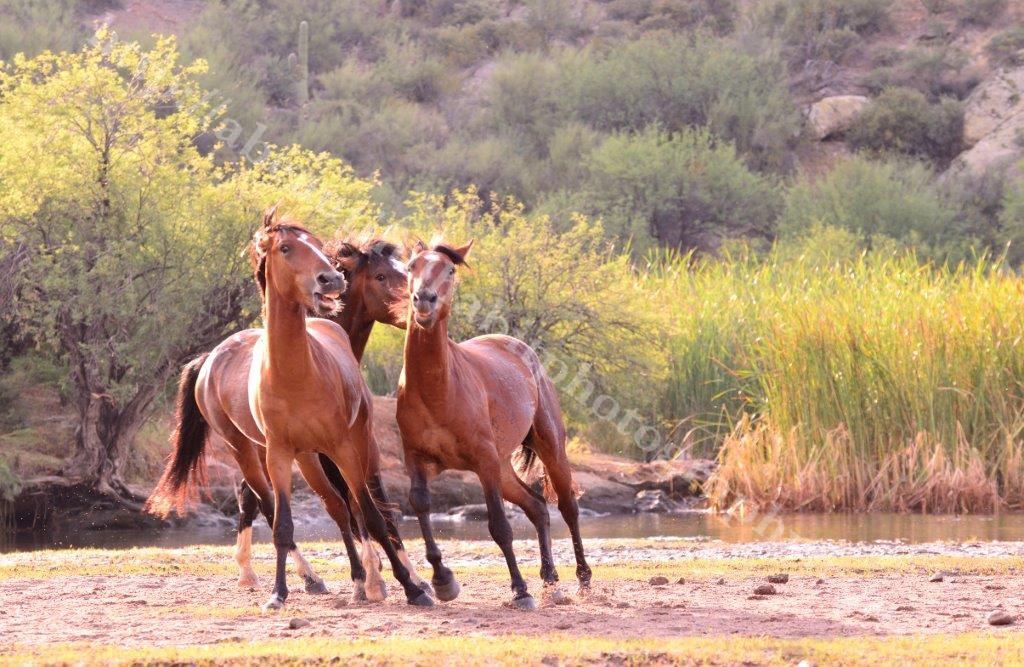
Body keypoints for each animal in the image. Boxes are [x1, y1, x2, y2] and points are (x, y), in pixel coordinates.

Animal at [149, 211, 432, 614]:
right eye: (381, 276)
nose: (417, 307)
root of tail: (209, 358)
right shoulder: (307, 453)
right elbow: (345, 512)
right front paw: (378, 579)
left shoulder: (350, 447)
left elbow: (371, 511)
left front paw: (403, 580)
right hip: (245, 448)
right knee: (268, 503)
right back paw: (305, 577)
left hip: (295, 453)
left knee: (288, 501)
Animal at [397, 238, 593, 610]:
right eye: (412, 265)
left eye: (450, 269)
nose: (424, 300)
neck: (438, 389)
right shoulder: (416, 459)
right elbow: (420, 504)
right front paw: (443, 581)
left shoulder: (484, 461)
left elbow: (500, 527)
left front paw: (520, 591)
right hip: (503, 468)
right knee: (537, 507)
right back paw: (549, 579)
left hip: (548, 448)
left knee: (568, 507)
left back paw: (582, 579)